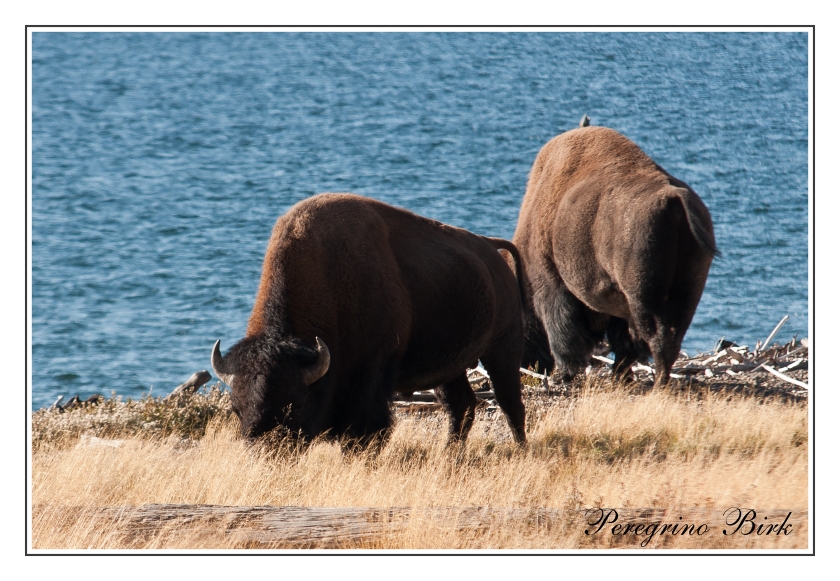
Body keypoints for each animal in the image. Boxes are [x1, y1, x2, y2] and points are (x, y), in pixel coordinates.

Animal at [210, 193, 524, 446]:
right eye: (236, 409)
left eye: (296, 404)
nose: (266, 449)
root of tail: (490, 249)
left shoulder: (370, 378)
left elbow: (367, 430)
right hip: (449, 368)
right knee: (462, 405)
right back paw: (449, 455)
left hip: (502, 349)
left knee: (510, 403)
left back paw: (519, 450)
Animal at [516, 123, 720, 386]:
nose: (524, 368)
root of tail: (674, 198)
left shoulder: (552, 285)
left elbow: (564, 336)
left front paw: (565, 374)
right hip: (686, 291)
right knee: (671, 336)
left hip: (644, 297)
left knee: (658, 337)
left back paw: (658, 384)